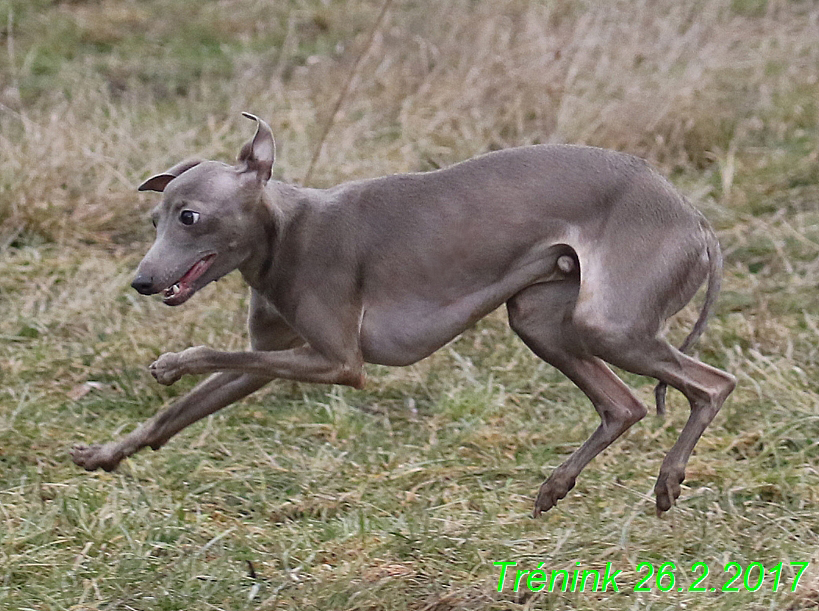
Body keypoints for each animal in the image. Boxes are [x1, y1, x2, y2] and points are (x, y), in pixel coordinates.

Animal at [72, 113, 736, 516]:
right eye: (155, 219)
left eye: (190, 217)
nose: (141, 282)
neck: (285, 233)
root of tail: (694, 217)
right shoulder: (270, 359)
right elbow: (177, 414)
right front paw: (106, 454)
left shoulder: (339, 362)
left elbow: (206, 356)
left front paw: (170, 363)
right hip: (541, 319)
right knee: (623, 405)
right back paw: (556, 487)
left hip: (608, 324)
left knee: (714, 383)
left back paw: (669, 479)